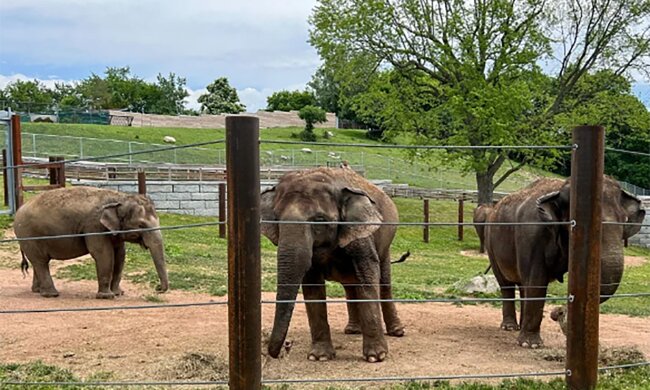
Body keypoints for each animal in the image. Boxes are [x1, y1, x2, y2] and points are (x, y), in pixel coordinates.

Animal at [14, 186, 170, 298]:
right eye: (141, 225)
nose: (157, 288)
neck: (119, 198)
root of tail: (18, 211)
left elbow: (120, 255)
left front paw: (118, 293)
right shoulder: (94, 226)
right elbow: (104, 254)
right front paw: (107, 296)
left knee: (39, 262)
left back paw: (37, 291)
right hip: (29, 236)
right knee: (40, 262)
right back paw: (51, 295)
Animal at [260, 167, 402, 362]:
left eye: (320, 220)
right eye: (276, 219)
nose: (284, 347)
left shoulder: (361, 236)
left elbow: (367, 280)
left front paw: (376, 357)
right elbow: (313, 288)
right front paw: (319, 357)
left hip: (386, 243)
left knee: (384, 282)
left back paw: (397, 331)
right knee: (350, 286)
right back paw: (352, 330)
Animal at [484, 177, 640, 348]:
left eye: (624, 222)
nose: (557, 312)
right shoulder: (531, 235)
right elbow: (537, 281)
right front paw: (530, 345)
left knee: (524, 285)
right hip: (490, 243)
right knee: (506, 284)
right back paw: (510, 327)